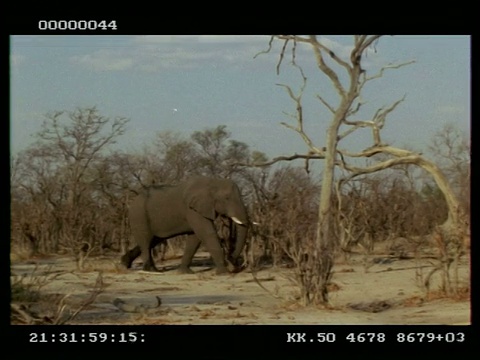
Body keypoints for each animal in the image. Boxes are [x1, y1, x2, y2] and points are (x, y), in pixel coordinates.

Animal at [120, 176, 249, 274]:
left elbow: (195, 239)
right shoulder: (192, 210)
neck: (213, 182)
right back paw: (151, 271)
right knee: (146, 242)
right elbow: (207, 234)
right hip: (139, 217)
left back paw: (124, 263)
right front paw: (223, 273)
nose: (231, 260)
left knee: (153, 240)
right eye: (227, 198)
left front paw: (185, 272)